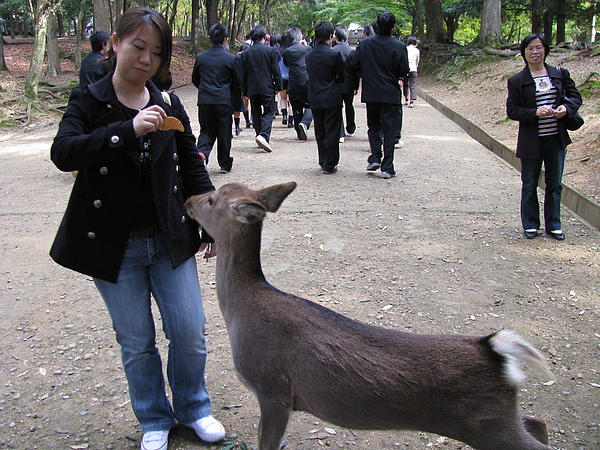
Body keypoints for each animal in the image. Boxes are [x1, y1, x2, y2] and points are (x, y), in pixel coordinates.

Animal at [185, 181, 556, 448]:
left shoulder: (273, 389)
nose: (187, 200)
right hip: (496, 420)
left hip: (487, 425)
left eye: (211, 200)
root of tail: (494, 348)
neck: (241, 312)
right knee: (538, 422)